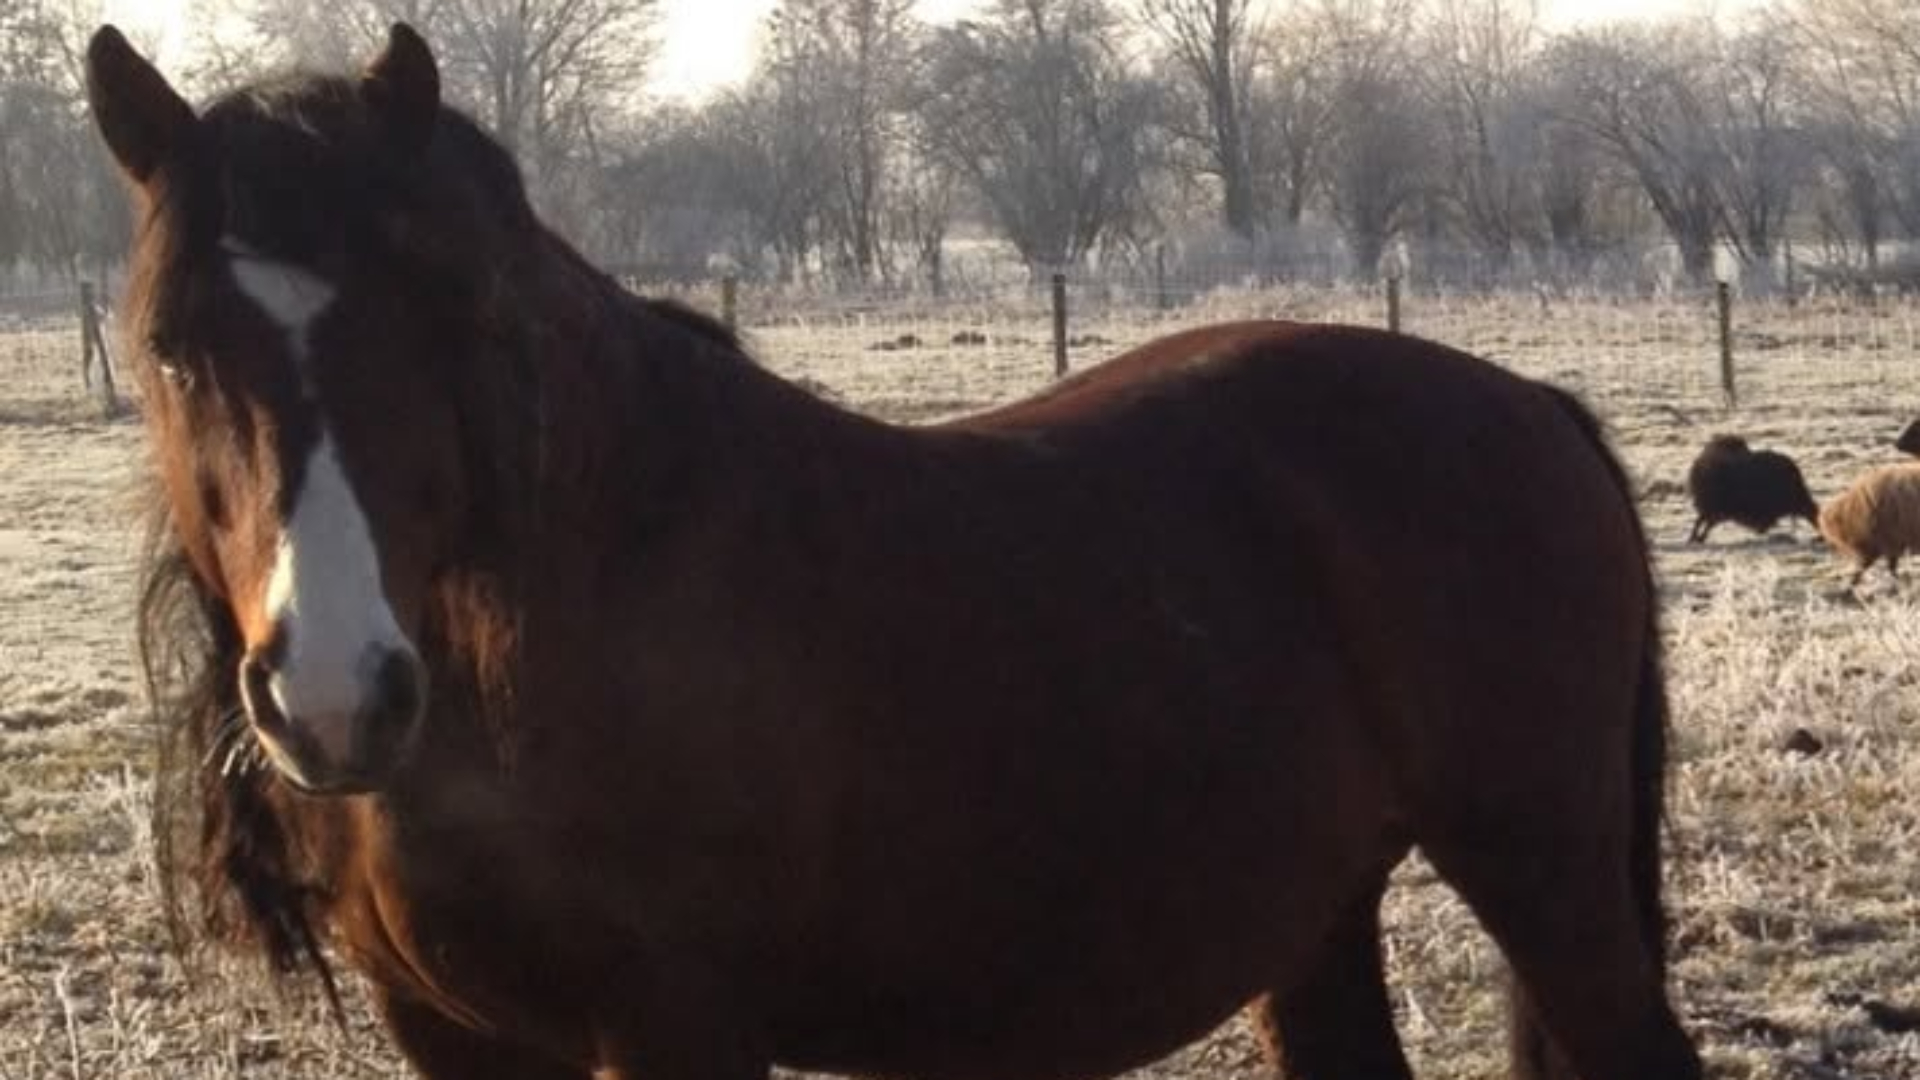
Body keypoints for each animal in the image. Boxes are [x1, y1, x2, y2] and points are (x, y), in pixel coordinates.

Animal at [90, 24, 1702, 1080]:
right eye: (170, 349)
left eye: (438, 322)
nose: (337, 695)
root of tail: (1535, 407)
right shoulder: (459, 1042)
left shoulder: (677, 1029)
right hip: (1321, 907)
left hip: (1542, 869)